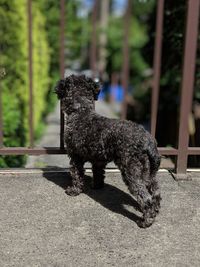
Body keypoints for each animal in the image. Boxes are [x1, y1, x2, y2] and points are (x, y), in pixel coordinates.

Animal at [54, 75, 161, 228]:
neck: (81, 111)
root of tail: (148, 140)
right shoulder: (98, 160)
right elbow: (98, 174)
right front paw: (96, 186)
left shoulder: (75, 157)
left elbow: (77, 175)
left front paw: (74, 190)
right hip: (147, 170)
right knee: (155, 191)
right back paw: (155, 210)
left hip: (131, 171)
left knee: (145, 197)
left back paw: (146, 221)